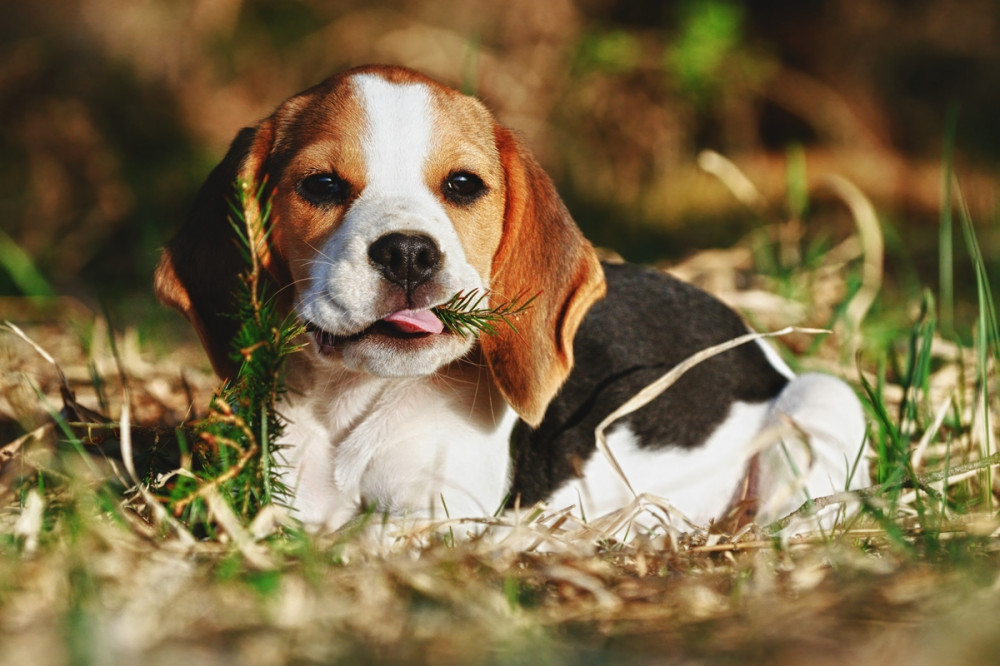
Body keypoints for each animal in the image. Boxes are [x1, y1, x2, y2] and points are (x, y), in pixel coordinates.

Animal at [156, 66, 868, 536]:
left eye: (463, 184)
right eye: (322, 185)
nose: (408, 253)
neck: (352, 406)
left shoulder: (436, 514)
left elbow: (364, 539)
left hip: (826, 402)